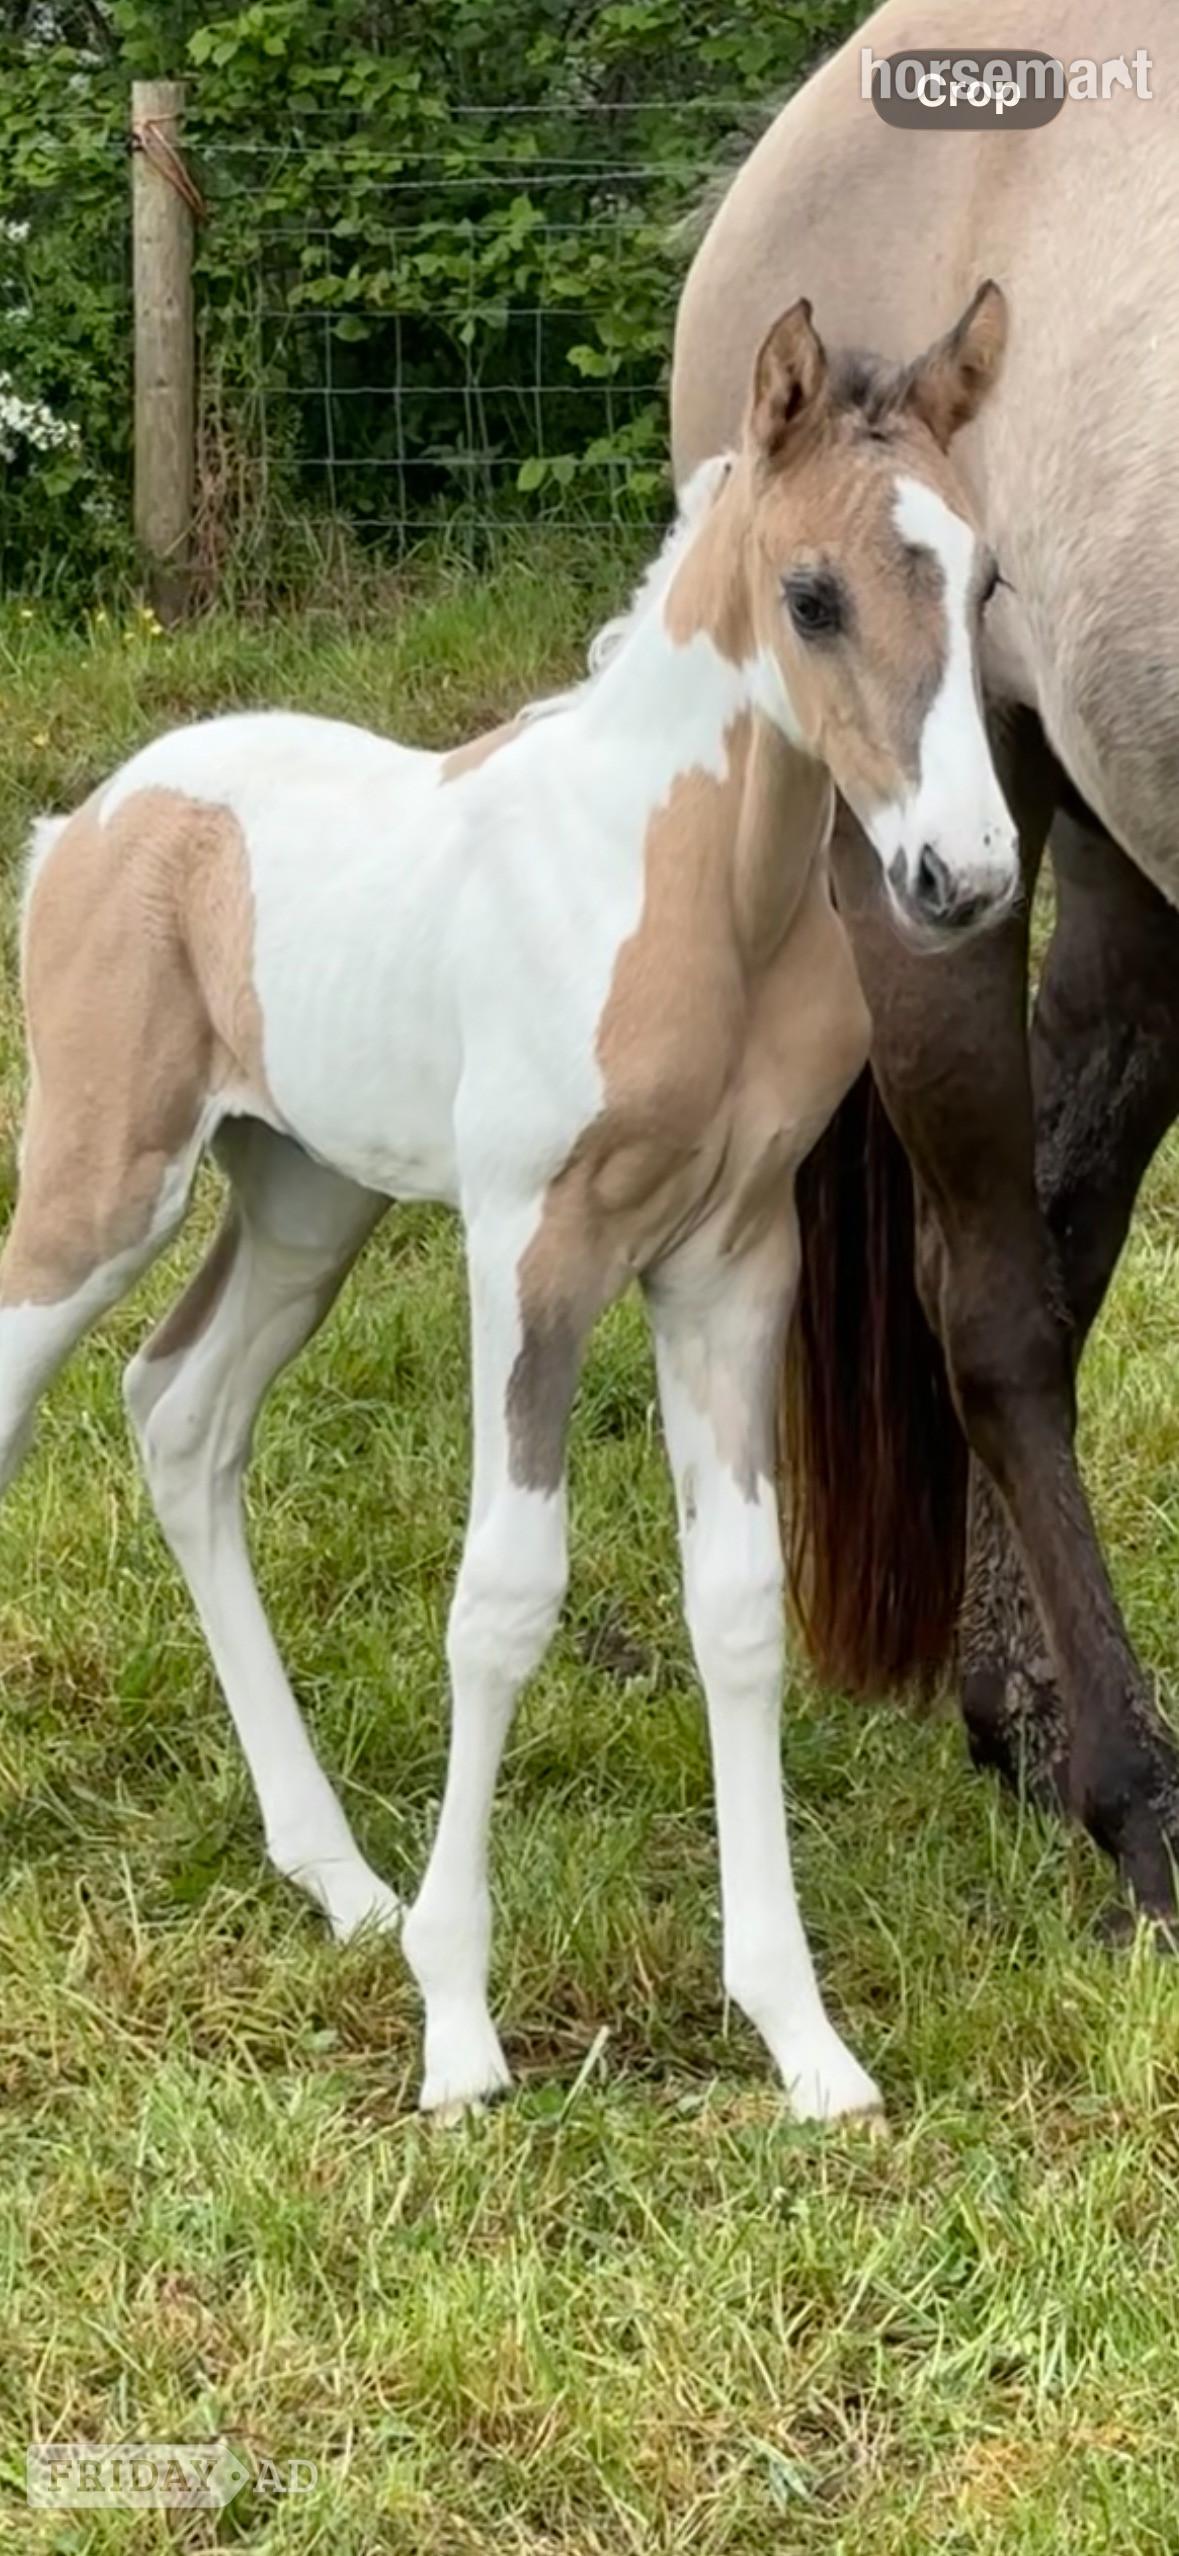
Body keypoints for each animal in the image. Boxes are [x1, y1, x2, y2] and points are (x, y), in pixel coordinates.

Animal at [0, 297, 1016, 2121]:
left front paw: (800, 2039)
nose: (957, 878)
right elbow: (500, 1602)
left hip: (304, 1203)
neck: (698, 895)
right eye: (811, 594)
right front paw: (459, 2030)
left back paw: (336, 1877)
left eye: (982, 586)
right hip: (100, 1190)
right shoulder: (529, 1250)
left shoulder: (727, 1266)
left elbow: (735, 1604)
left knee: (181, 1415)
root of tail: (89, 821)